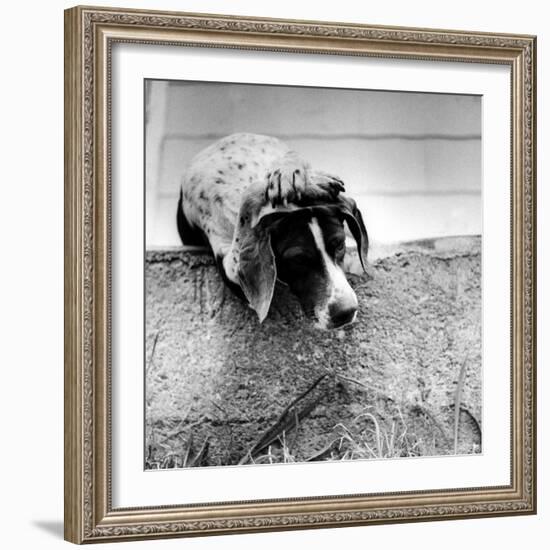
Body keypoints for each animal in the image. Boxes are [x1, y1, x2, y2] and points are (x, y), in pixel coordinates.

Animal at [179, 133, 370, 332]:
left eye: (339, 245)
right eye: (297, 259)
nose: (346, 312)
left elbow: (288, 159)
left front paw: (291, 173)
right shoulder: (230, 270)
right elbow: (250, 193)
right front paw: (311, 181)